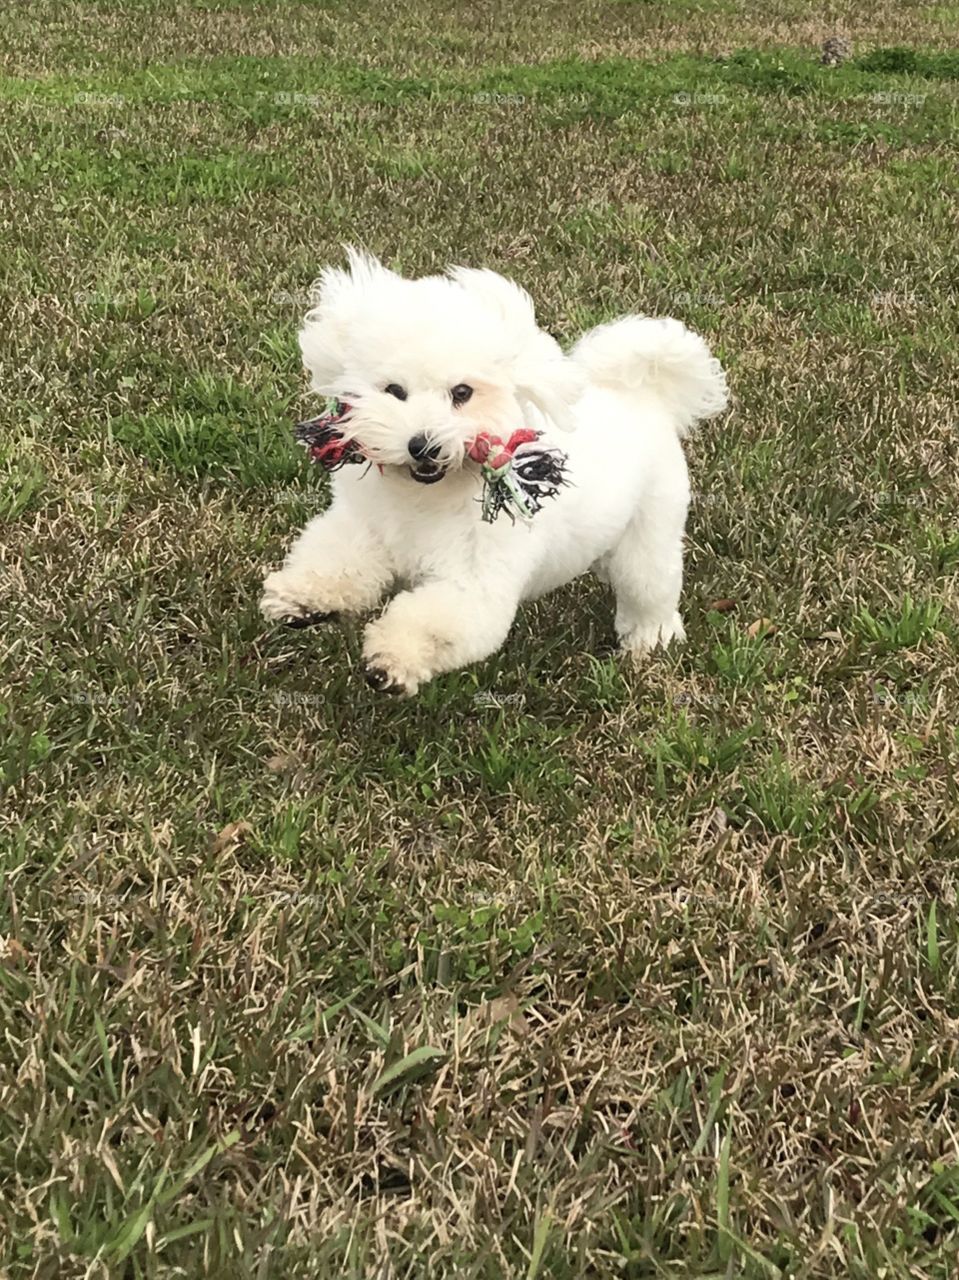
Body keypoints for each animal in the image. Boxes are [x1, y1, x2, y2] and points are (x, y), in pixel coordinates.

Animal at [259, 248, 727, 691]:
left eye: (463, 392)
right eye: (394, 391)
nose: (422, 445)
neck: (424, 497)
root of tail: (643, 393)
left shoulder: (476, 578)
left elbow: (434, 620)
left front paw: (392, 660)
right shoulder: (364, 527)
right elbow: (336, 561)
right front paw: (299, 599)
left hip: (651, 530)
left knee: (649, 587)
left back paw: (650, 640)